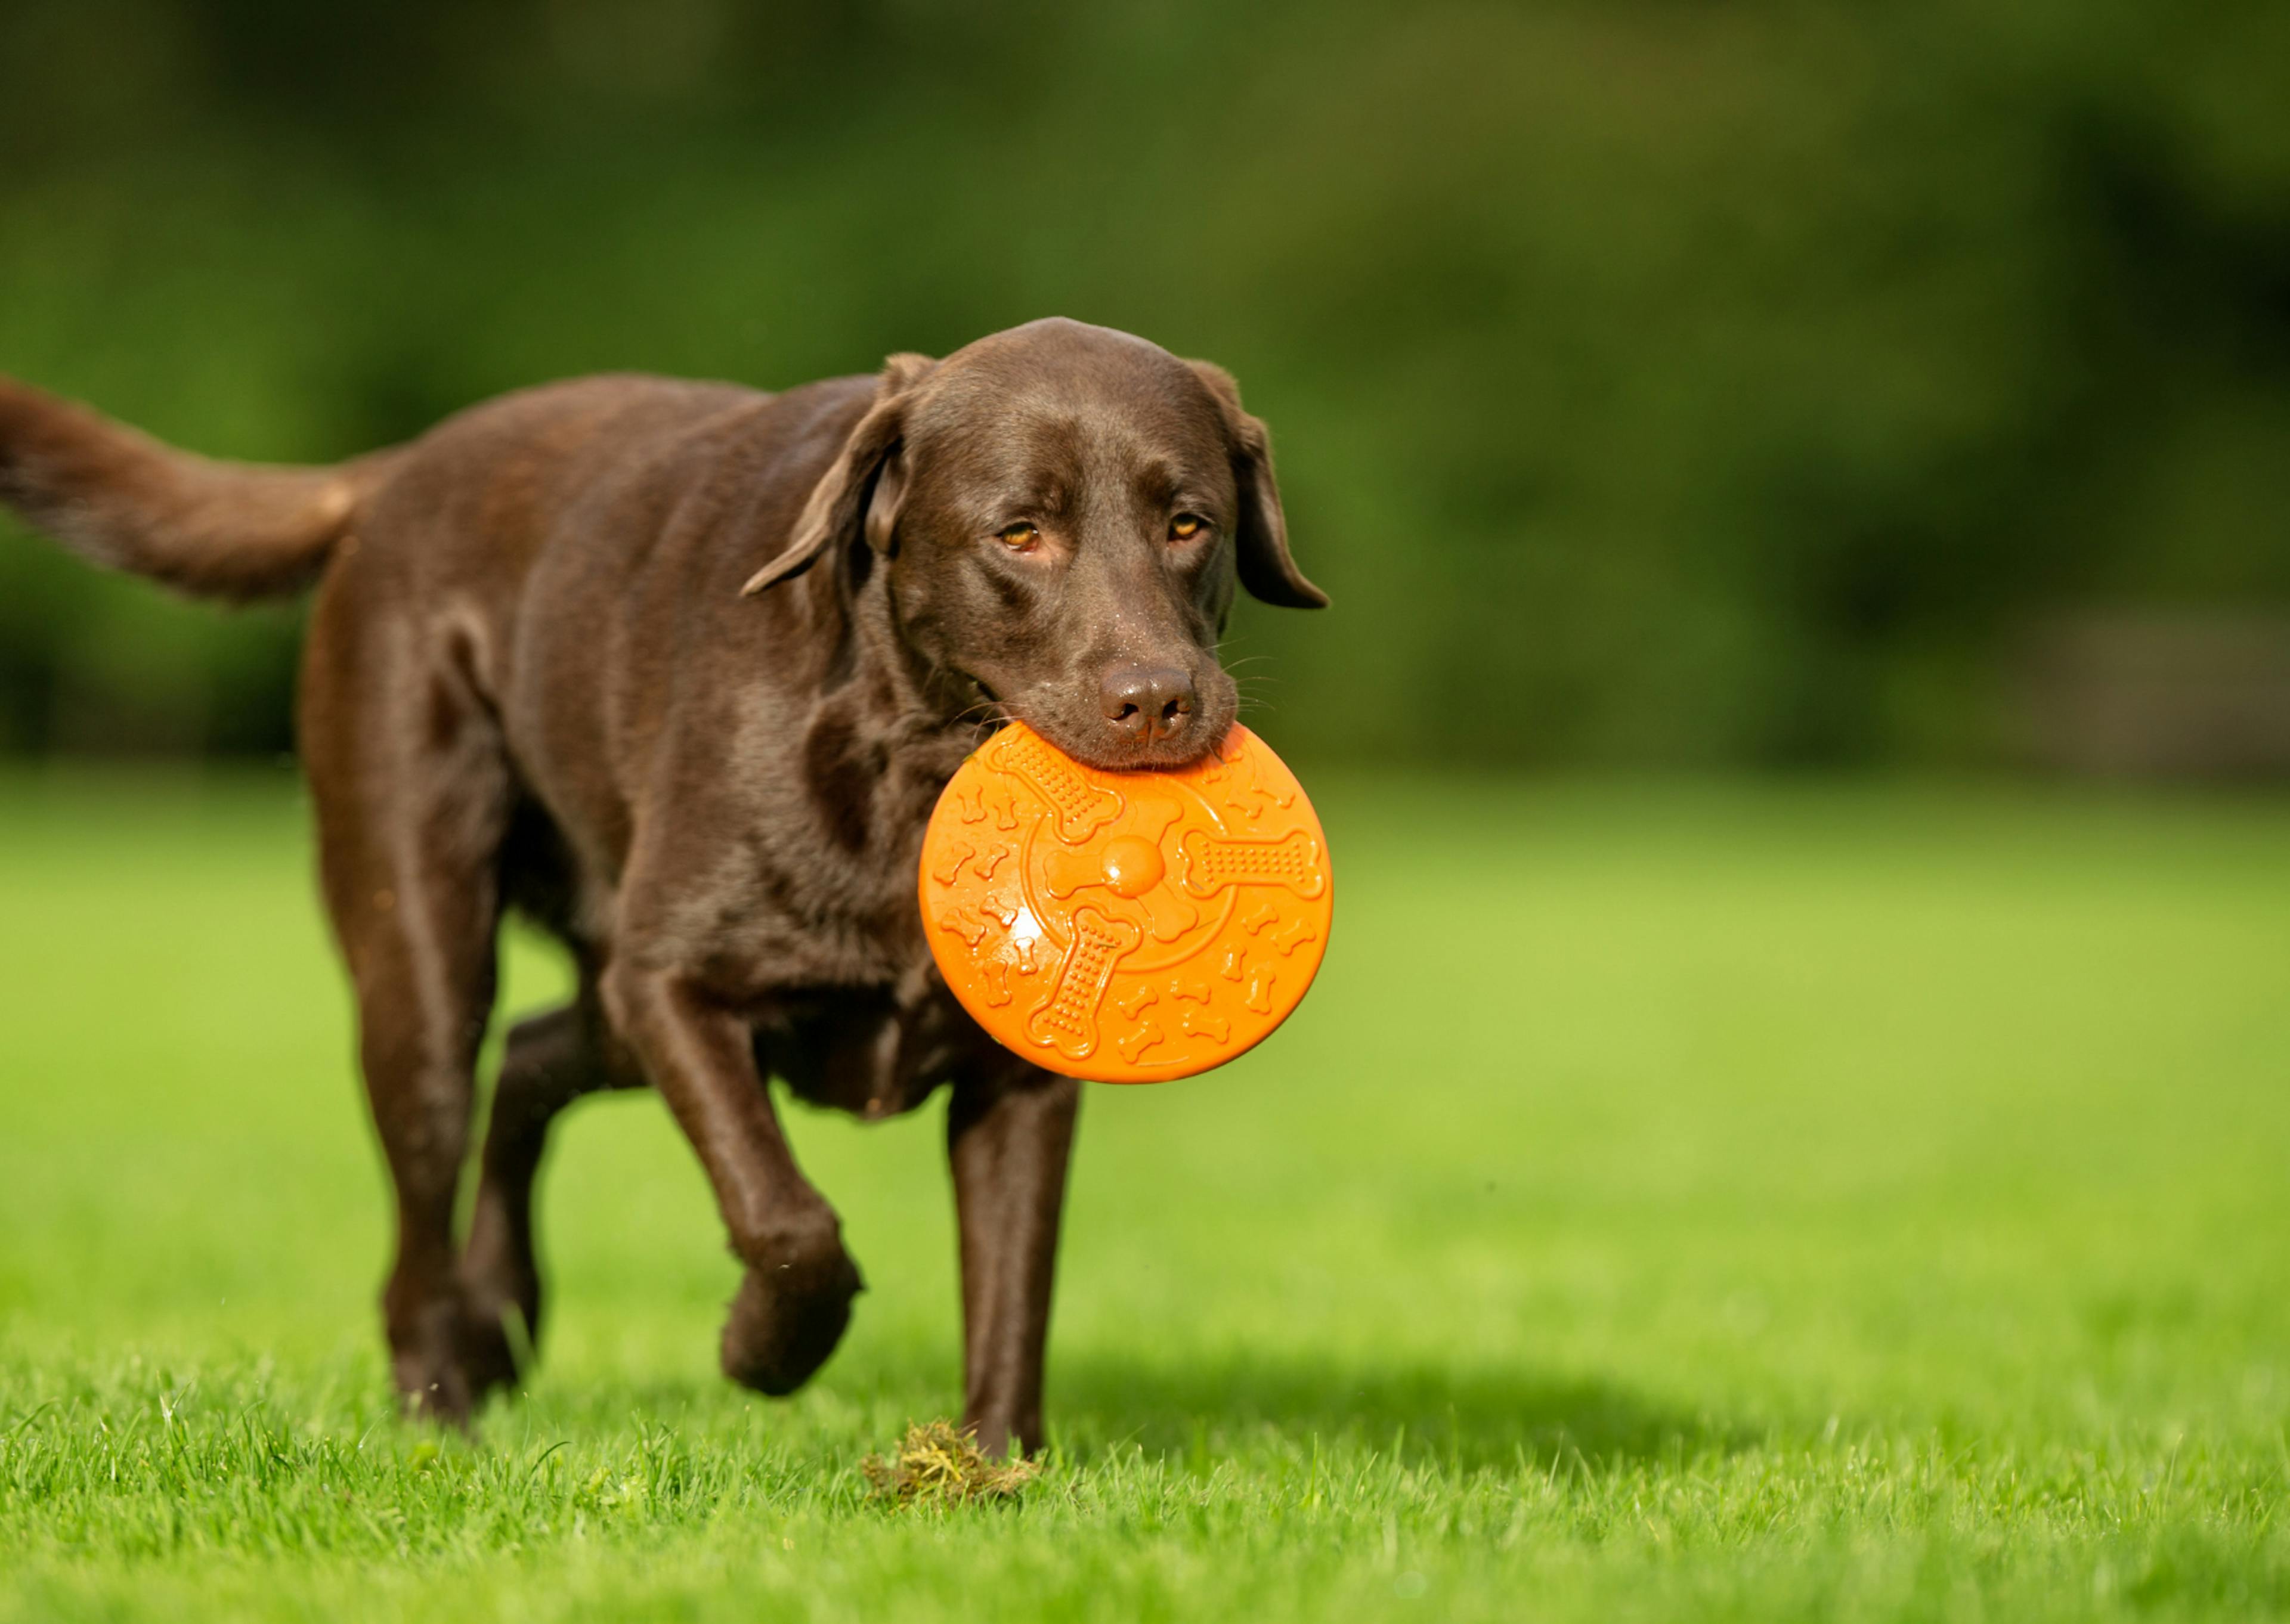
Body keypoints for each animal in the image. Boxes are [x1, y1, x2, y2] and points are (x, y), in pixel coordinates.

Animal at [0, 314, 1328, 1448]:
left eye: (1188, 524)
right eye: (1019, 534)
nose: (1157, 700)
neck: (909, 767)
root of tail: (396, 473)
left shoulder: (1021, 1075)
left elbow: (1015, 1282)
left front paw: (994, 1467)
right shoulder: (676, 983)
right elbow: (787, 1221)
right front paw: (763, 1350)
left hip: (598, 995)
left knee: (532, 1058)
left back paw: (502, 1314)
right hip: (427, 949)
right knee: (431, 1172)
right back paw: (441, 1402)